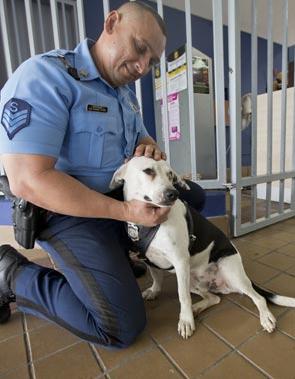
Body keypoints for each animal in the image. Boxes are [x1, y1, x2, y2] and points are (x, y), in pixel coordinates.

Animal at [110, 156, 295, 340]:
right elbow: (157, 278)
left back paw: (266, 318)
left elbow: (183, 297)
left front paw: (185, 321)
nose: (173, 193)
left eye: (170, 175)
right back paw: (196, 308)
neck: (150, 222)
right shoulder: (149, 259)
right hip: (192, 281)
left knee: (259, 298)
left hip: (227, 271)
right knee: (214, 298)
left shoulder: (180, 262)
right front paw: (155, 291)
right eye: (148, 171)